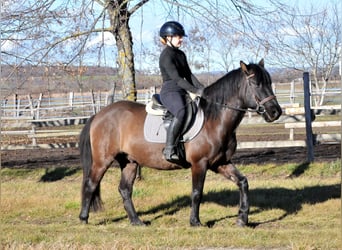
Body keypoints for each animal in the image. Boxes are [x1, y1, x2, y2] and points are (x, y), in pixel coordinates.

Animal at [79, 59, 282, 228]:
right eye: (255, 83)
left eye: (269, 82)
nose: (275, 112)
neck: (214, 118)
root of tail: (99, 115)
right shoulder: (200, 164)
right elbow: (197, 192)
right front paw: (195, 222)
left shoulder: (220, 163)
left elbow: (243, 182)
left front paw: (242, 219)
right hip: (103, 160)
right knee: (91, 184)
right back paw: (83, 219)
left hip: (129, 162)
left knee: (125, 190)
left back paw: (137, 222)